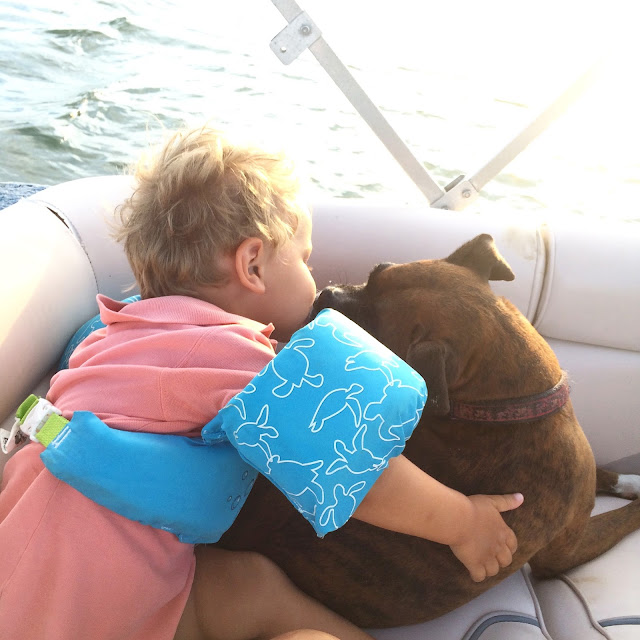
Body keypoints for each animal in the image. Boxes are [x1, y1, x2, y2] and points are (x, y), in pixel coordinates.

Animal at [217, 234, 640, 628]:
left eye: (377, 272)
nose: (327, 293)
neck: (509, 408)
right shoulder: (564, 552)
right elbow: (624, 517)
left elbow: (607, 475)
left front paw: (629, 481)